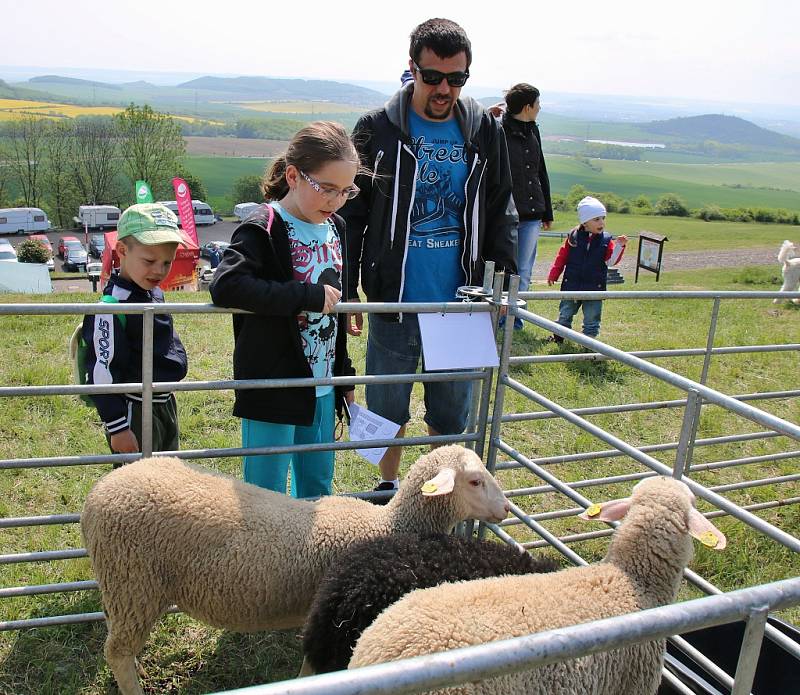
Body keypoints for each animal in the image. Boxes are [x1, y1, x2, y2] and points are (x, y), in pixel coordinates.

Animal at [79, 446, 506, 695]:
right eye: (474, 480)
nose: (505, 509)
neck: (389, 526)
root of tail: (98, 493)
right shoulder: (331, 620)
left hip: (123, 586)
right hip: (133, 580)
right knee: (117, 651)